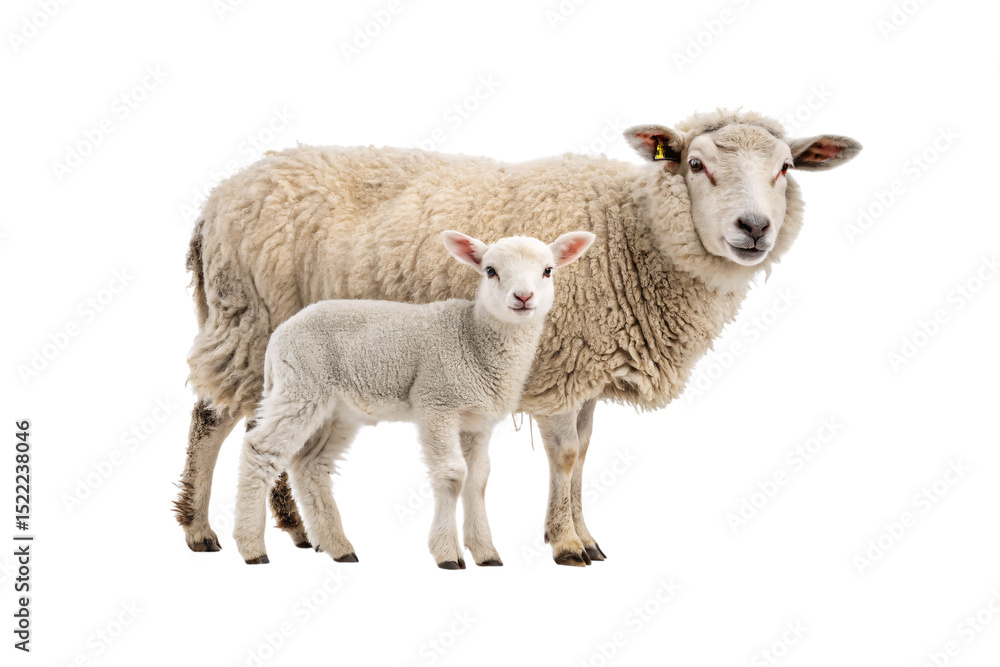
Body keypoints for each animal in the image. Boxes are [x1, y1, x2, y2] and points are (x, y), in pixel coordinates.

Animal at [232, 230, 595, 568]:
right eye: (490, 270)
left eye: (548, 270)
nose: (523, 296)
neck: (473, 337)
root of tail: (279, 335)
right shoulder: (436, 402)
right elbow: (453, 475)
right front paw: (448, 553)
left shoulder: (478, 421)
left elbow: (478, 479)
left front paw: (486, 552)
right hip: (301, 386)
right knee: (259, 451)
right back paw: (252, 548)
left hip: (335, 409)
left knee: (310, 465)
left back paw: (339, 547)